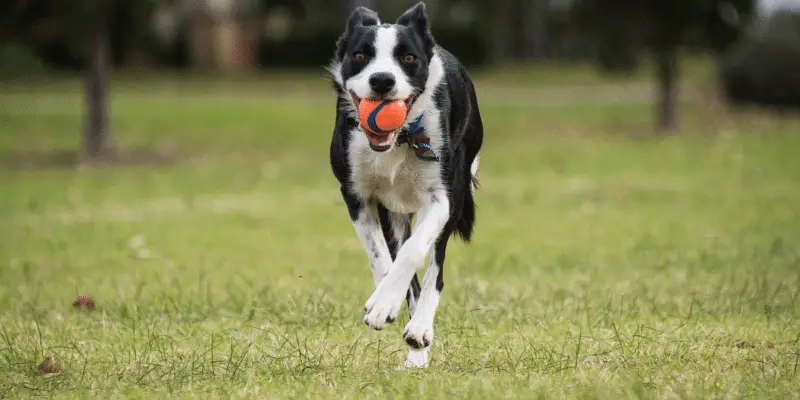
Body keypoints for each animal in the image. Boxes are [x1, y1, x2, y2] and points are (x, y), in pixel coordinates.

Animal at [324, 1, 482, 368]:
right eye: (359, 55)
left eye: (408, 58)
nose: (382, 80)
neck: (398, 140)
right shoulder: (356, 194)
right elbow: (381, 256)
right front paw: (383, 302)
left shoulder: (441, 198)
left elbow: (414, 253)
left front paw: (386, 305)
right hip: (393, 211)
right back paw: (415, 353)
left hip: (455, 193)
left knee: (434, 268)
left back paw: (419, 332)